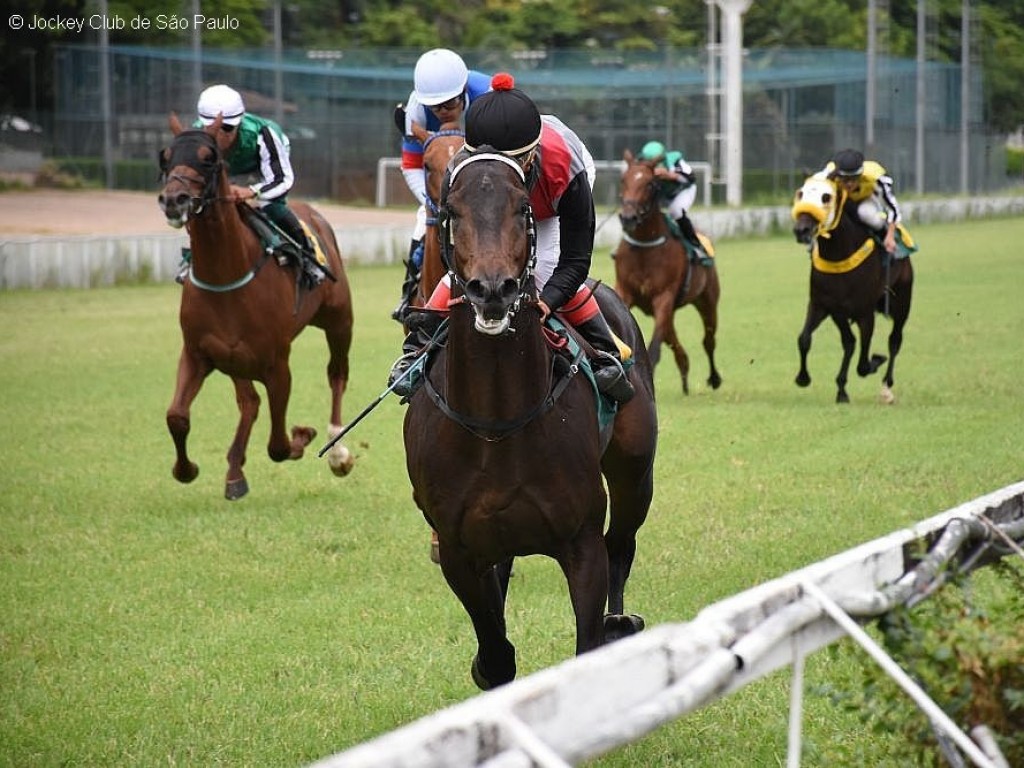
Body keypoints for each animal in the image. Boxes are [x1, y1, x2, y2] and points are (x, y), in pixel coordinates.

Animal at [157, 112, 354, 499]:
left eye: (209, 157)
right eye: (165, 156)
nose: (175, 199)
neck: (226, 274)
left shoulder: (277, 365)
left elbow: (278, 445)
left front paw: (303, 435)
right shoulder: (198, 353)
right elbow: (177, 416)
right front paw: (186, 469)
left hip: (339, 321)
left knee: (337, 373)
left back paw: (337, 447)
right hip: (235, 359)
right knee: (249, 403)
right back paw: (235, 472)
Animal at [399, 147, 655, 688]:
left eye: (522, 209)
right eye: (452, 211)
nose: (493, 289)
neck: (496, 425)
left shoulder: (581, 542)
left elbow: (588, 630)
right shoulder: (457, 549)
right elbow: (495, 653)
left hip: (634, 474)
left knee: (622, 543)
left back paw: (621, 621)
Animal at [610, 148, 724, 397]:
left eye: (651, 184)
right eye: (623, 180)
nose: (628, 218)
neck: (645, 246)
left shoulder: (664, 296)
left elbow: (653, 350)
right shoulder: (624, 292)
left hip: (707, 301)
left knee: (708, 341)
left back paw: (713, 378)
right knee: (675, 342)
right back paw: (684, 374)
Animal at [790, 174, 913, 403]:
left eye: (826, 197)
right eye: (801, 193)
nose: (801, 230)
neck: (838, 254)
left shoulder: (865, 312)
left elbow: (863, 364)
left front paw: (876, 360)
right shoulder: (825, 305)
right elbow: (805, 339)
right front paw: (804, 378)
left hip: (902, 301)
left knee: (895, 340)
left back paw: (887, 385)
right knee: (850, 342)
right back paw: (842, 388)